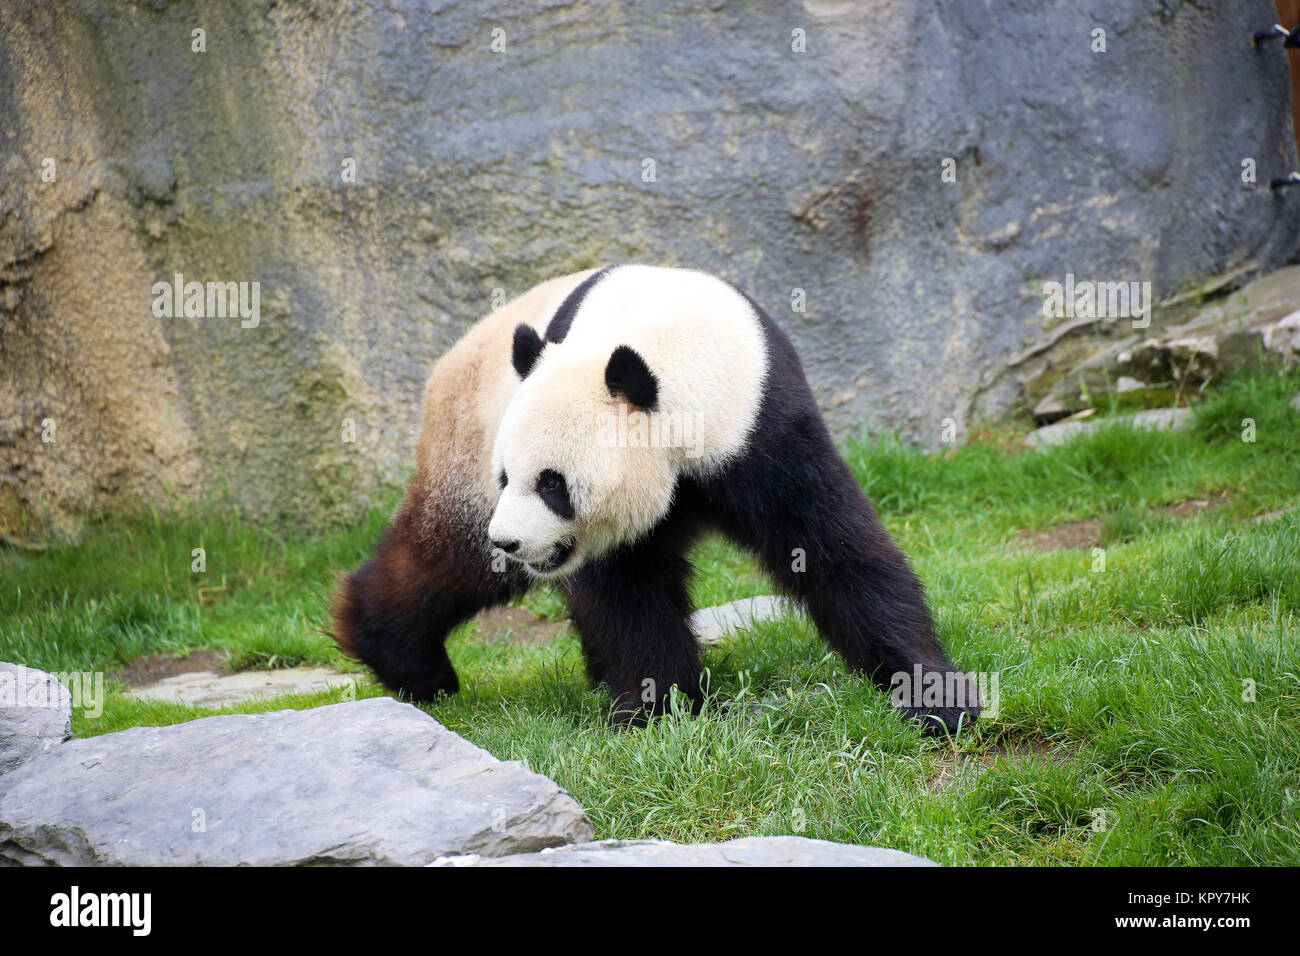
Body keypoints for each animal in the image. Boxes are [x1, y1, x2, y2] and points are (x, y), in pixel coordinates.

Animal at [330, 265, 977, 738]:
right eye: (509, 475)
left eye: (552, 483)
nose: (509, 540)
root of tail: (445, 364)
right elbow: (627, 593)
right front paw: (659, 711)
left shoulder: (763, 424)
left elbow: (832, 548)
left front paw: (936, 697)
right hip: (470, 437)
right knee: (453, 559)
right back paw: (410, 664)